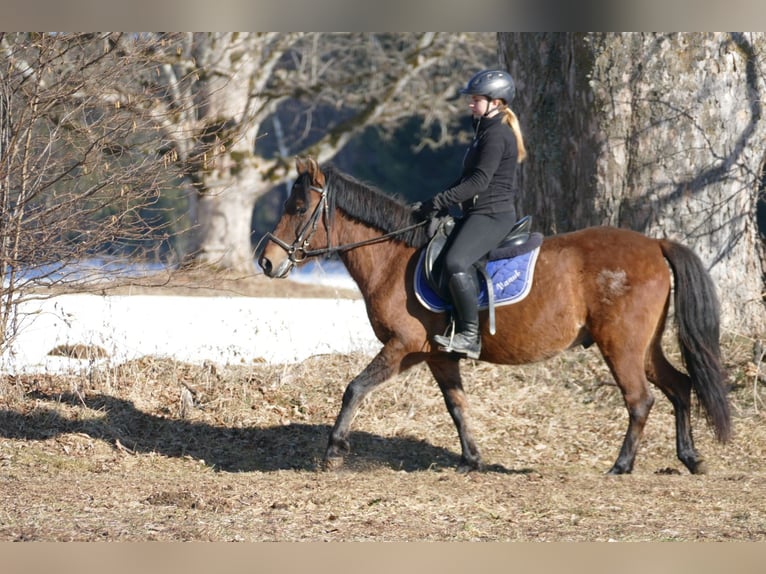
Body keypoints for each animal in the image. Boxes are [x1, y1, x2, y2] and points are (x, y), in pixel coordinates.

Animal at [258, 158, 732, 476]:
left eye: (298, 208)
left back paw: (622, 465)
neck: (396, 258)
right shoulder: (437, 355)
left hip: (621, 345)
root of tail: (655, 244)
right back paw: (690, 458)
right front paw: (472, 459)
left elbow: (355, 388)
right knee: (679, 386)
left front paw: (334, 450)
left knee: (640, 400)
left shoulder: (403, 346)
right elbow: (457, 406)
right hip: (642, 346)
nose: (266, 262)